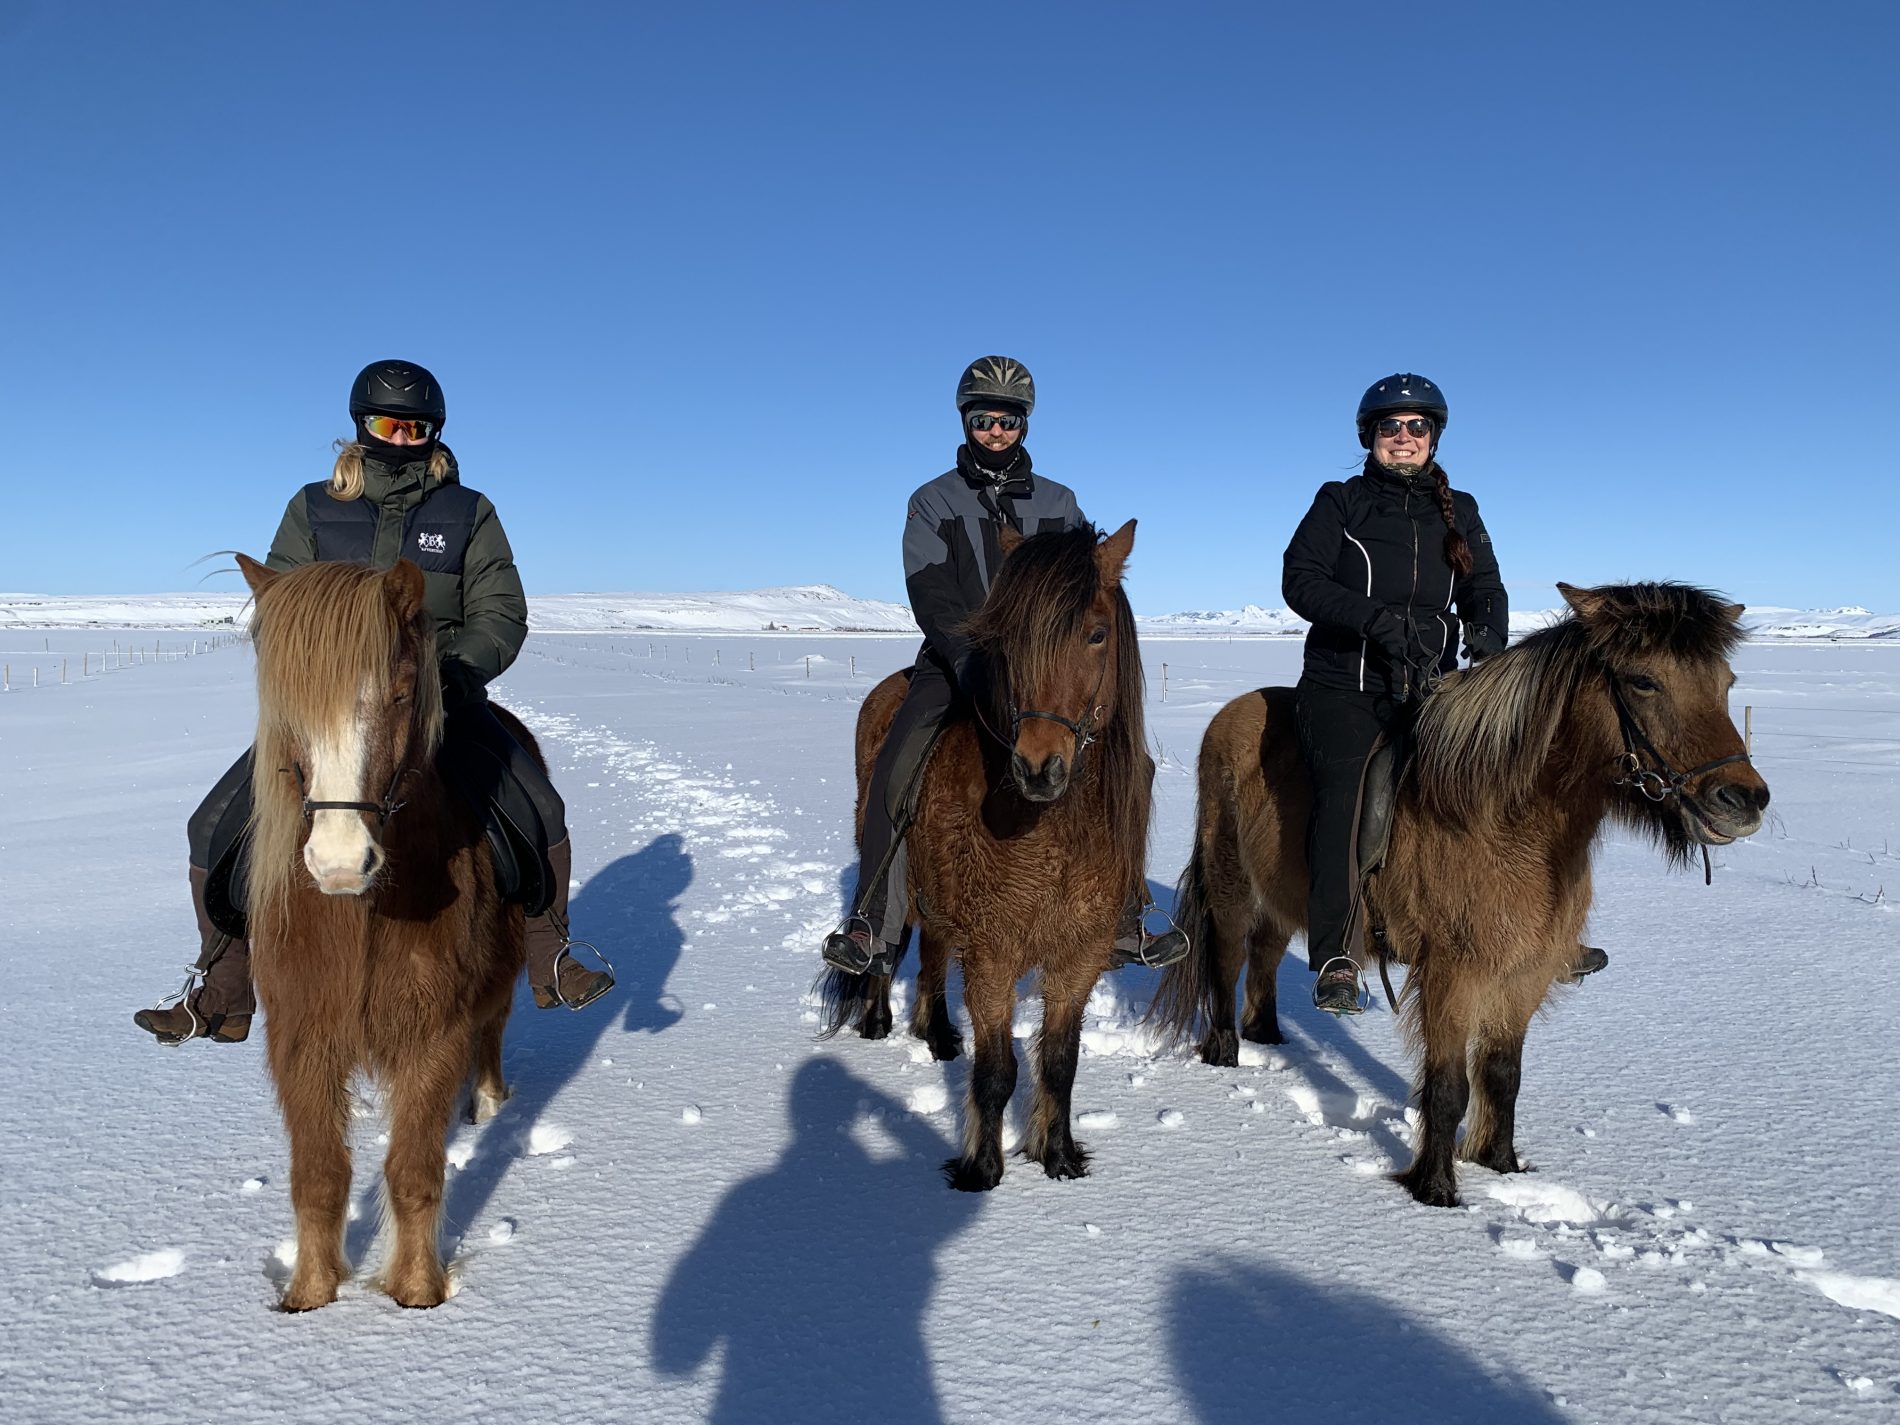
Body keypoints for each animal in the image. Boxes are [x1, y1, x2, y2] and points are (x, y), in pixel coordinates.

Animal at [241, 551, 535, 1314]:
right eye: (284, 707)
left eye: (403, 693)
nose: (341, 863)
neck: (363, 917)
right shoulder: (302, 1035)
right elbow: (318, 1175)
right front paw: (309, 1295)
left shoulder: (436, 1029)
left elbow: (414, 1170)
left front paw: (417, 1292)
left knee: (495, 1031)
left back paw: (487, 1103)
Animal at [813, 524, 1140, 1193]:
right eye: (1007, 638)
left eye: (1097, 633)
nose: (1038, 766)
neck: (1052, 831)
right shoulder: (993, 954)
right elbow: (997, 1069)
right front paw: (980, 1170)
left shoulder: (1080, 957)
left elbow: (1060, 1062)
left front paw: (1058, 1155)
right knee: (890, 934)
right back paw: (878, 1017)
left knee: (935, 950)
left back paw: (937, 1032)